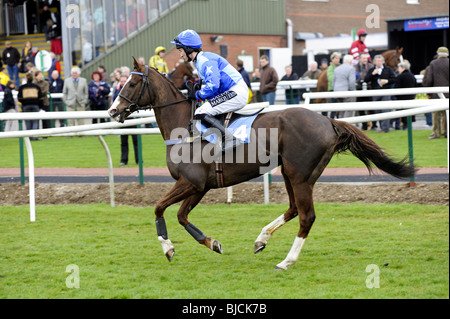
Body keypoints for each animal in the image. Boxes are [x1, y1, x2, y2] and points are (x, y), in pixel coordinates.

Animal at [109, 57, 414, 270]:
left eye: (131, 84)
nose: (112, 111)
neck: (183, 126)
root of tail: (328, 120)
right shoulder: (200, 186)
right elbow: (182, 216)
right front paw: (212, 243)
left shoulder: (191, 182)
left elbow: (158, 208)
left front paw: (168, 248)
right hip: (291, 172)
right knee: (293, 209)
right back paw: (262, 239)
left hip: (299, 174)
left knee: (307, 216)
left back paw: (286, 261)